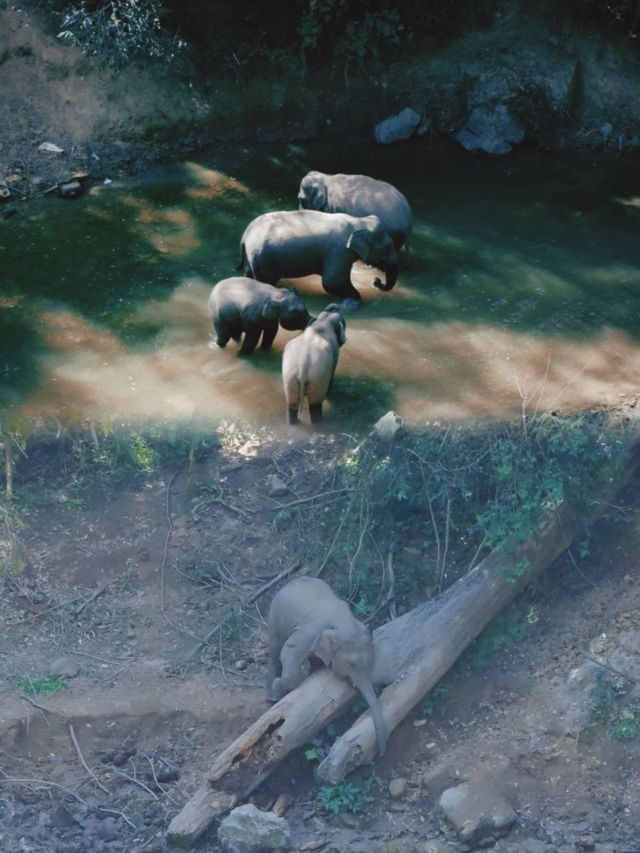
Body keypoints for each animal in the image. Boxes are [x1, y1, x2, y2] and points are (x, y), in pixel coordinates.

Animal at [240, 208, 400, 302]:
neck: (359, 221)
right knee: (266, 282)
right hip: (262, 261)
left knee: (248, 274)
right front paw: (358, 298)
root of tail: (245, 235)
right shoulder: (339, 252)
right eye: (386, 249)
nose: (376, 281)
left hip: (253, 258)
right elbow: (332, 281)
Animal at [266, 576, 388, 756]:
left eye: (372, 661)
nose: (379, 753)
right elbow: (288, 650)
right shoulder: (309, 632)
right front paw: (281, 685)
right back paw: (272, 695)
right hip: (275, 616)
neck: (344, 621)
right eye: (352, 664)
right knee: (275, 649)